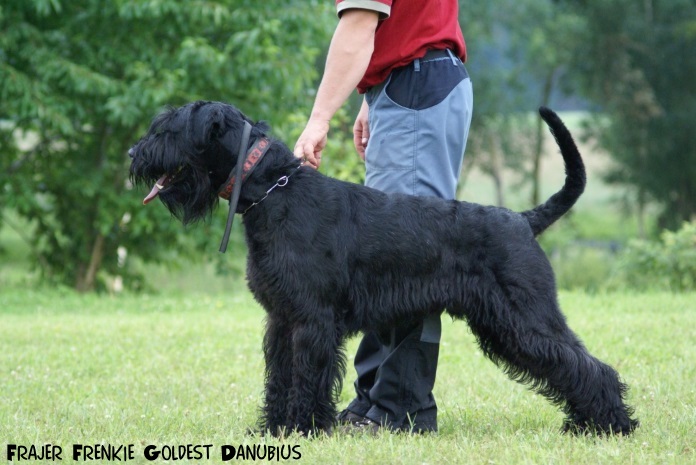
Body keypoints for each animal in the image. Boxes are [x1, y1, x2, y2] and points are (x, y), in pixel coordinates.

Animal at [128, 100, 640, 436]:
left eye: (167, 129)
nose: (134, 154)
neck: (272, 190)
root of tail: (521, 220)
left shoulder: (312, 319)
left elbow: (307, 376)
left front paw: (305, 428)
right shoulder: (281, 318)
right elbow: (279, 376)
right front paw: (274, 429)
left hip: (526, 317)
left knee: (585, 363)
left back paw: (611, 423)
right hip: (507, 324)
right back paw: (587, 421)